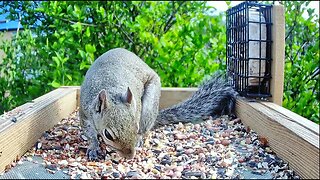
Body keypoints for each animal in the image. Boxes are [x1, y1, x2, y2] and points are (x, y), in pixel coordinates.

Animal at [79, 47, 236, 160]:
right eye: (108, 135)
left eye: (136, 127)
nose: (130, 156)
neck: (111, 88)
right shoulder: (85, 113)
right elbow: (90, 134)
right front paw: (94, 148)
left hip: (149, 107)